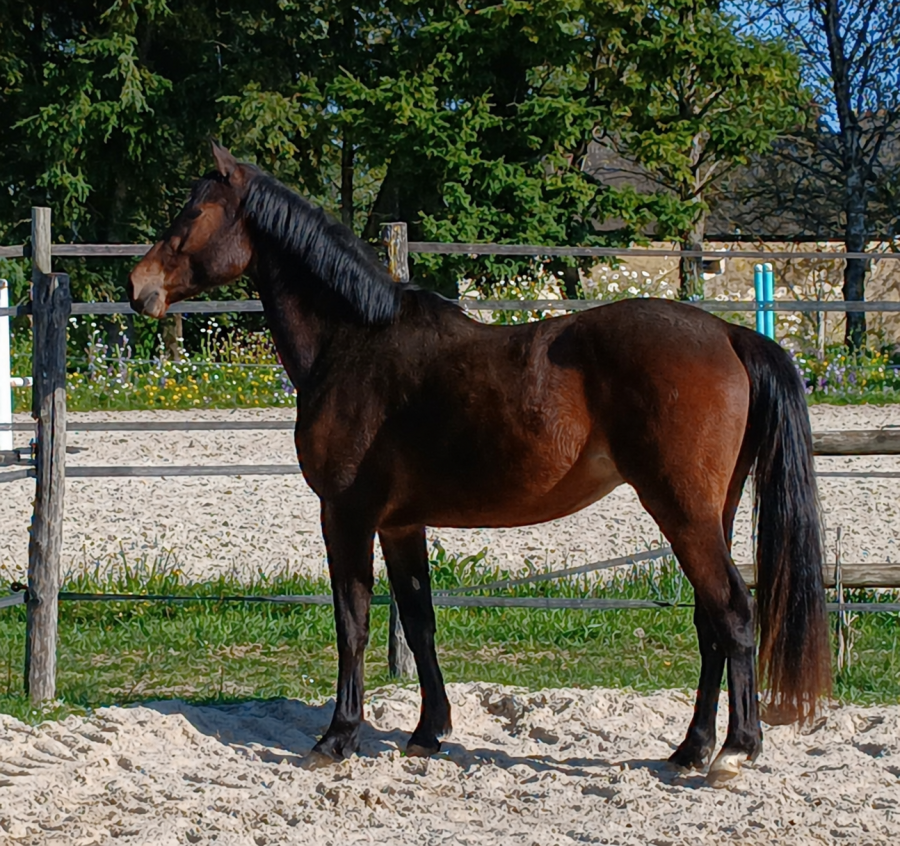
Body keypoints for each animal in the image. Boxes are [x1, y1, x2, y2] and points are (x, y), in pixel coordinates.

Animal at [129, 142, 831, 787]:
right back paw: (689, 749)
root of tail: (730, 335)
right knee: (710, 622)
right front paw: (427, 733)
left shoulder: (346, 516)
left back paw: (735, 751)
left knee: (733, 614)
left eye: (192, 212)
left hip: (682, 512)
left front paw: (338, 737)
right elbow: (419, 622)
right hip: (711, 514)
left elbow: (353, 622)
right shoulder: (400, 524)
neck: (353, 341)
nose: (138, 287)